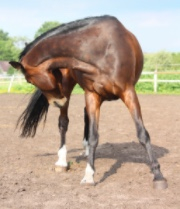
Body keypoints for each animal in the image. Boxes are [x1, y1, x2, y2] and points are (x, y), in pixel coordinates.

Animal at [9, 15, 167, 189]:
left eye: (28, 80)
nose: (57, 102)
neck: (100, 51)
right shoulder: (92, 95)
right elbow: (93, 136)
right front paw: (89, 175)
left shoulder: (128, 92)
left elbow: (142, 134)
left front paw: (158, 175)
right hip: (68, 89)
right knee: (63, 123)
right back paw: (62, 162)